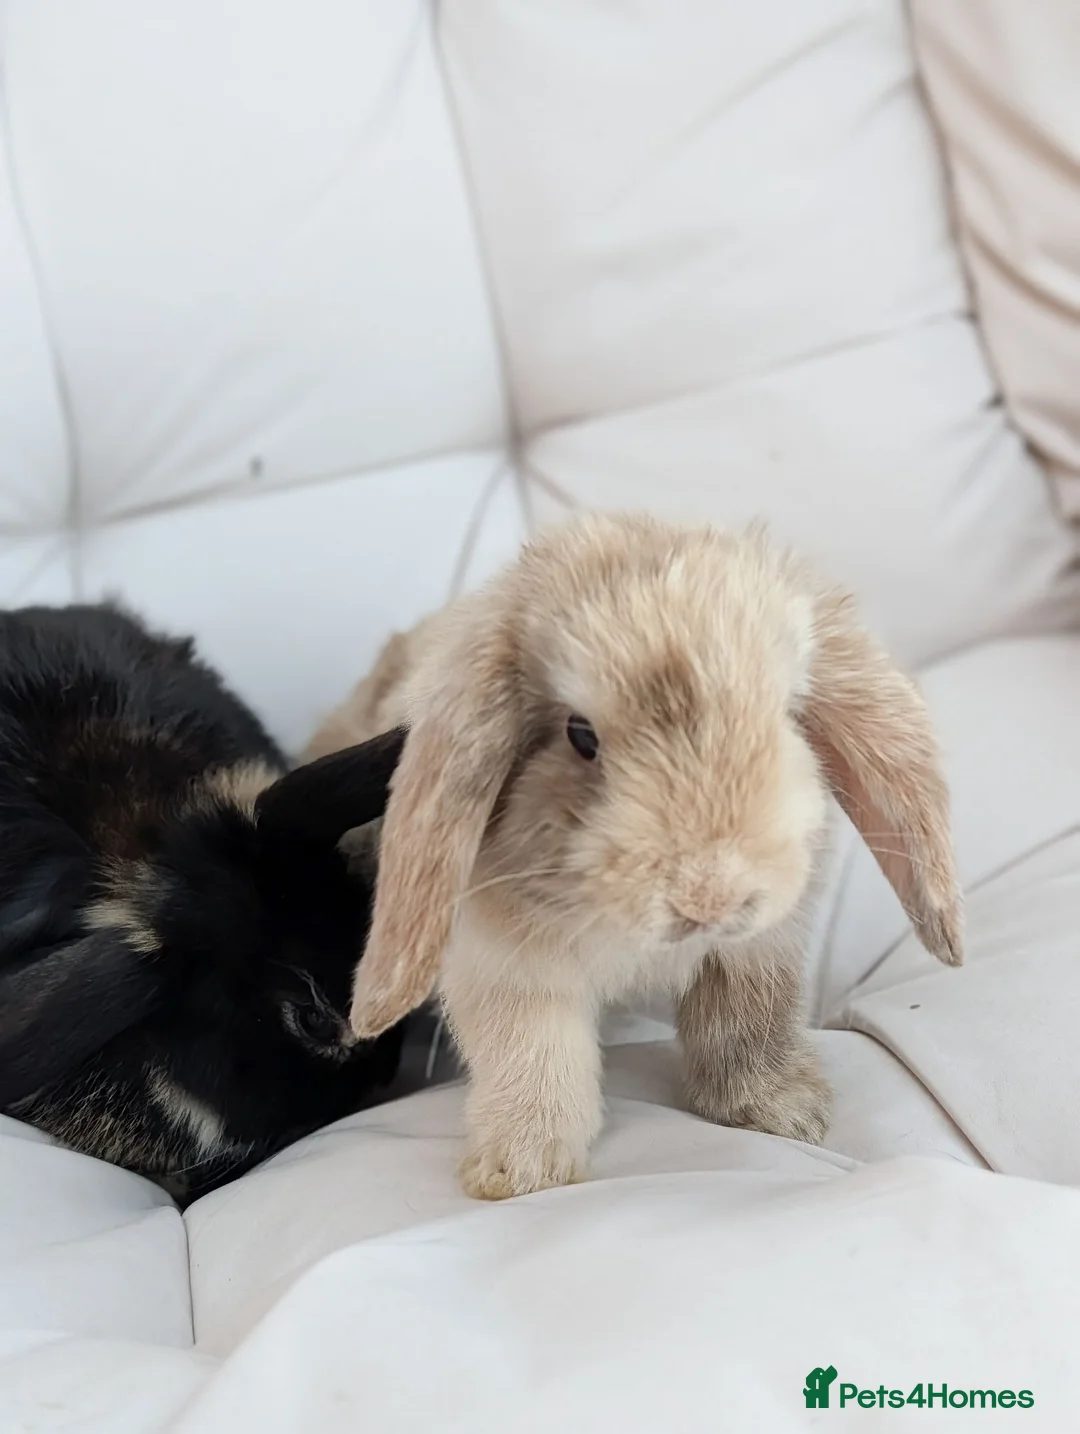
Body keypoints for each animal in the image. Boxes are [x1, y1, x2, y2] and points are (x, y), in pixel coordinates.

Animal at [312, 512, 964, 1201]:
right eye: (581, 736)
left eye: (787, 718)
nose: (709, 897)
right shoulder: (507, 969)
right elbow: (533, 1058)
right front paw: (520, 1172)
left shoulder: (757, 950)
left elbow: (747, 1024)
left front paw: (783, 1112)